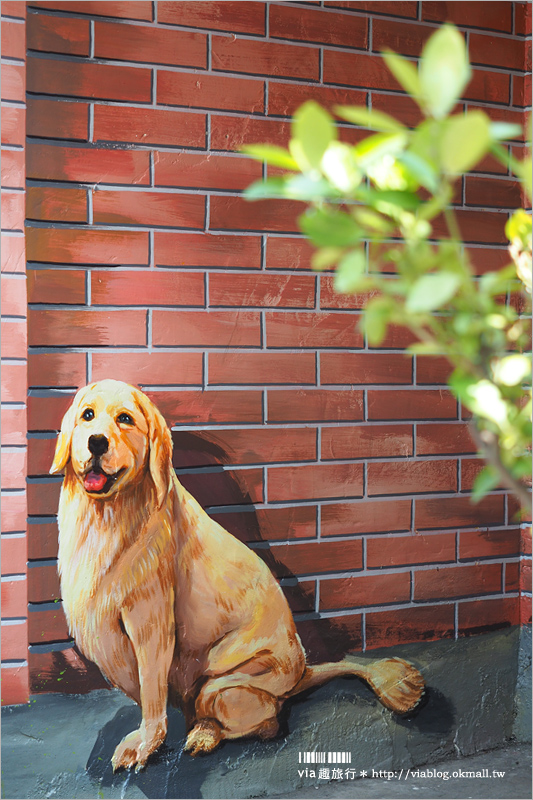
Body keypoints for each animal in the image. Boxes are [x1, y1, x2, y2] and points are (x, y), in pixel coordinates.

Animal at [51, 382, 424, 776]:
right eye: (87, 415)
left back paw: (204, 734)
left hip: (221, 686)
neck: (108, 513)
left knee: (267, 720)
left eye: (125, 419)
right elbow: (141, 688)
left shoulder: (150, 621)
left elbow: (151, 690)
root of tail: (304, 671)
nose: (96, 442)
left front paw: (146, 744)